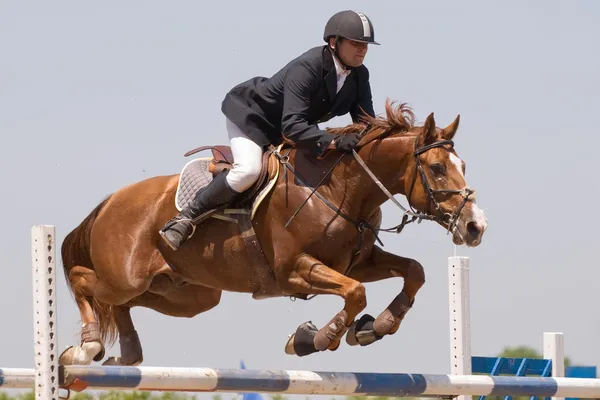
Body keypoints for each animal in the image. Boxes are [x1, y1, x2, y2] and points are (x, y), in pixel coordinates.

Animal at [57, 99, 488, 366]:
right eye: (437, 168)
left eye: (463, 165)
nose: (475, 226)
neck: (340, 190)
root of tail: (110, 201)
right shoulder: (294, 270)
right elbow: (354, 293)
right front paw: (315, 339)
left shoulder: (359, 262)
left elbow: (413, 271)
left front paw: (375, 327)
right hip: (127, 276)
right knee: (83, 279)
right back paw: (85, 349)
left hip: (187, 294)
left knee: (122, 303)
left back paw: (126, 354)